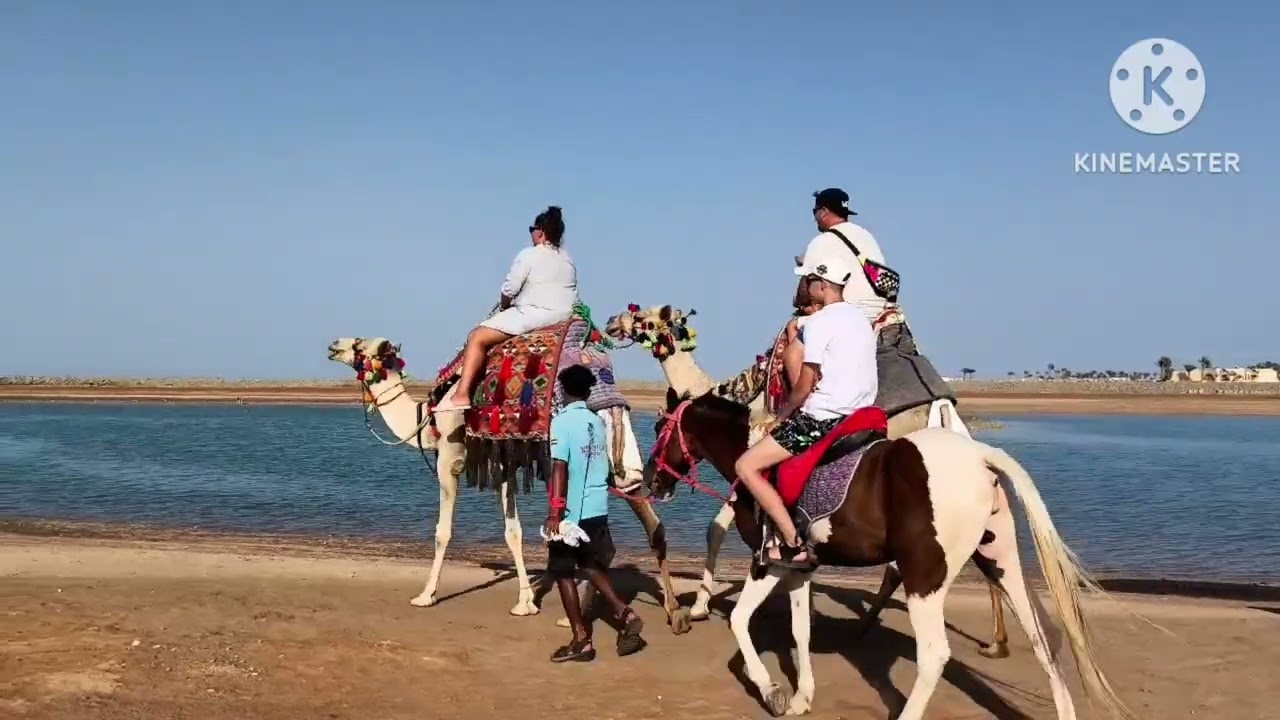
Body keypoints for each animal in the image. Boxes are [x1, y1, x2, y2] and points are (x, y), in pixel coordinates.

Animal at [643, 391, 1132, 719]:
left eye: (659, 429)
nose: (649, 480)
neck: (754, 458)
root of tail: (980, 456)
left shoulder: (767, 563)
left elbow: (742, 621)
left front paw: (772, 690)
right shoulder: (795, 567)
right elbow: (800, 632)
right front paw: (801, 697)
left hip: (924, 578)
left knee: (934, 654)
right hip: (1001, 563)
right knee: (1043, 642)